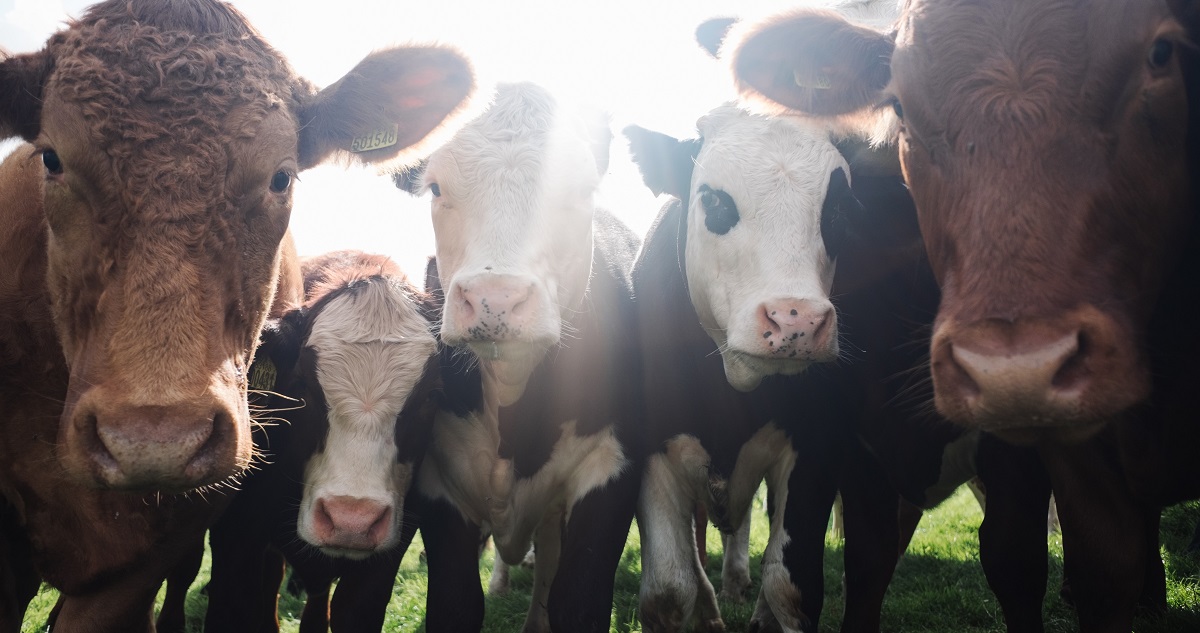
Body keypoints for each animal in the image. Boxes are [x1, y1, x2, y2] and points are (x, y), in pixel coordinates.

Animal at [394, 81, 643, 633]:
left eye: (581, 189)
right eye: (436, 188)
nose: (496, 298)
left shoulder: (610, 469)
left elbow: (576, 601)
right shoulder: (438, 483)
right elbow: (456, 603)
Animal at [726, 1, 1200, 631]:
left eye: (1161, 54)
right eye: (900, 104)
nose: (1015, 371)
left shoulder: (1020, 455)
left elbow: (1014, 558)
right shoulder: (860, 441)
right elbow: (868, 558)